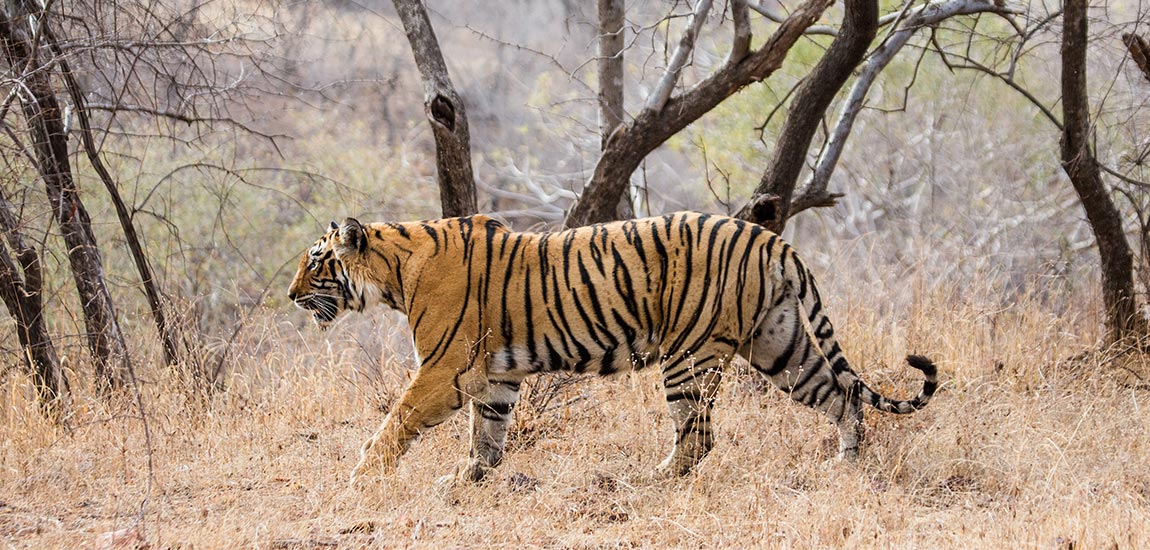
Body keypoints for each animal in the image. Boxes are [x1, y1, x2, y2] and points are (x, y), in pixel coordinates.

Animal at [287, 211, 938, 486]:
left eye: (315, 263)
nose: (291, 296)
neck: (395, 272)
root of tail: (768, 236)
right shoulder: (494, 376)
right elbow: (488, 434)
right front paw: (467, 480)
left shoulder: (443, 371)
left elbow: (394, 423)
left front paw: (360, 478)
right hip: (780, 345)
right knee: (840, 399)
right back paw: (845, 465)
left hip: (690, 356)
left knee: (699, 437)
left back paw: (650, 480)